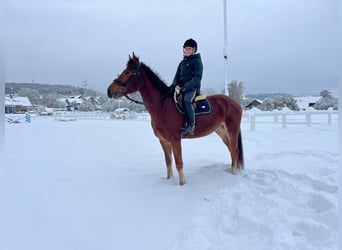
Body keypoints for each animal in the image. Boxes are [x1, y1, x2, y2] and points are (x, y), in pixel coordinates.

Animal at [107, 53, 243, 186]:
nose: (109, 90)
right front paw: (169, 179)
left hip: (232, 131)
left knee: (235, 150)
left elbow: (179, 162)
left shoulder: (175, 140)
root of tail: (235, 103)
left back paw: (233, 174)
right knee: (231, 149)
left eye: (127, 72)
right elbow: (168, 162)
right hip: (221, 130)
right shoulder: (163, 140)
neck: (162, 106)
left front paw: (182, 184)